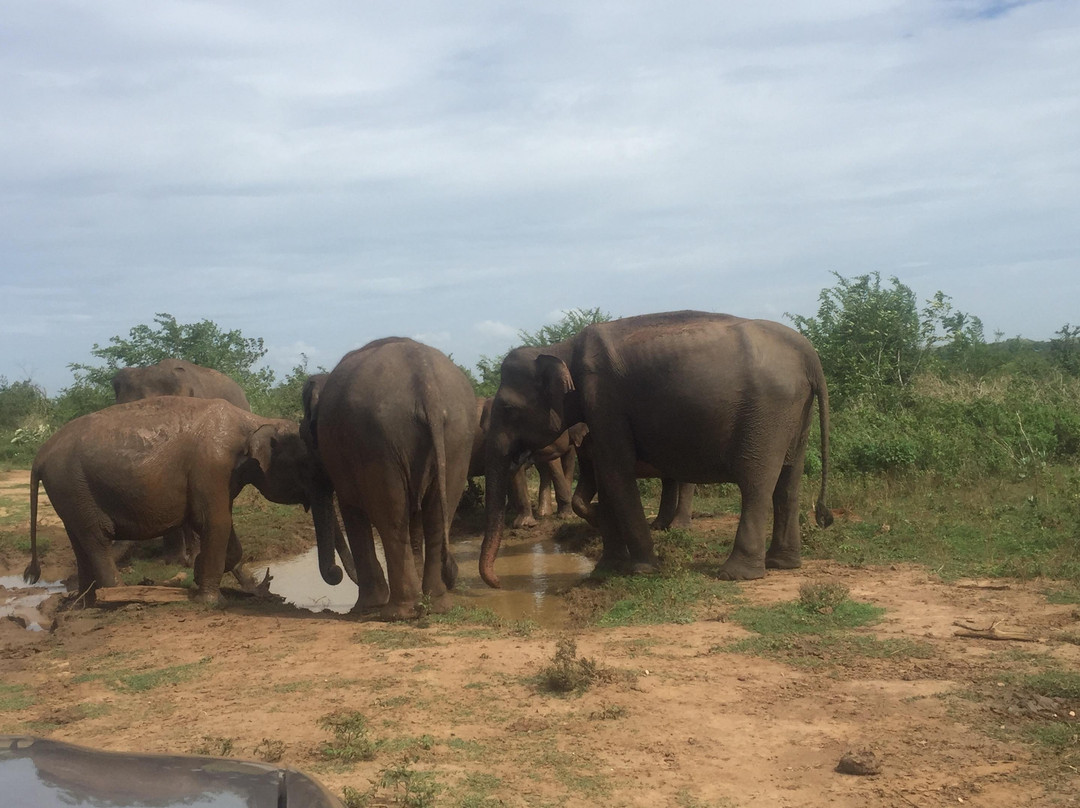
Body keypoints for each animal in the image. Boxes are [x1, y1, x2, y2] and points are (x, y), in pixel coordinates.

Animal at [24, 395, 319, 604]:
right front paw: (211, 601)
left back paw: (84, 602)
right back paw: (117, 596)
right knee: (97, 538)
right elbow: (215, 522)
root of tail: (39, 455)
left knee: (78, 539)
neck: (253, 420)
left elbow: (224, 523)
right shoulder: (212, 466)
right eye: (306, 463)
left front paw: (203, 574)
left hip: (69, 493)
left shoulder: (223, 477)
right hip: (73, 485)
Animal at [308, 334, 477, 617]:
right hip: (456, 438)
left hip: (378, 441)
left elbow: (351, 509)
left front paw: (365, 608)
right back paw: (435, 605)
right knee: (434, 515)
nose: (336, 573)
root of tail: (425, 383)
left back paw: (396, 613)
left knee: (392, 518)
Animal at [481, 311, 833, 587]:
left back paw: (735, 573)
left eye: (508, 409)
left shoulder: (604, 398)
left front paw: (642, 569)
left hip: (768, 413)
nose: (497, 583)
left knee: (756, 482)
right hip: (795, 413)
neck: (559, 348)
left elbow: (616, 470)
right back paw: (783, 563)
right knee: (789, 481)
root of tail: (810, 355)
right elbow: (608, 475)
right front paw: (606, 568)